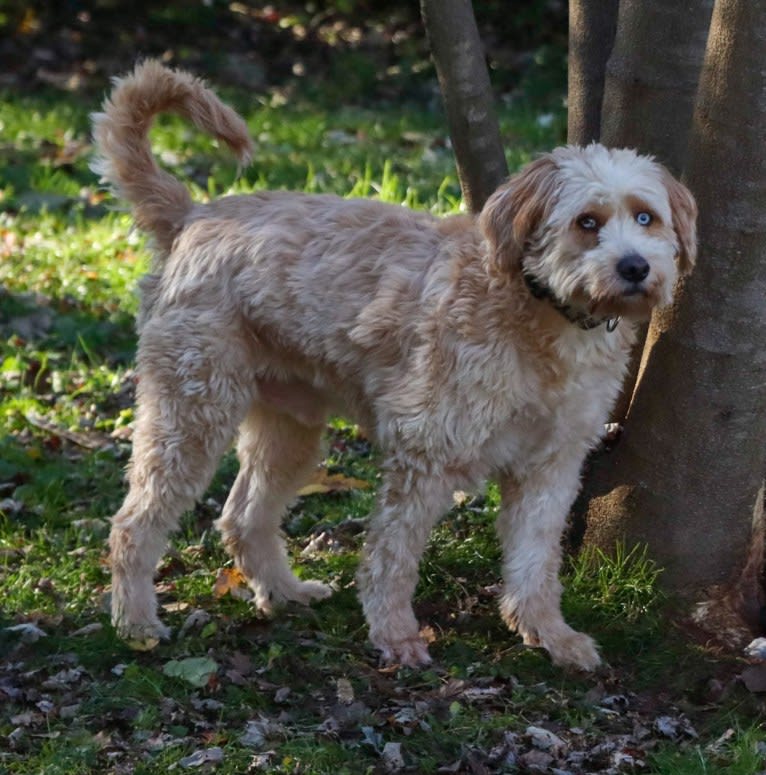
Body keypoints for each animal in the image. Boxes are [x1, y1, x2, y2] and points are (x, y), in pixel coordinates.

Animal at [93, 60, 700, 668]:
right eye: (587, 222)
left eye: (645, 217)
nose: (635, 268)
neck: (541, 314)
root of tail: (192, 215)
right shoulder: (424, 452)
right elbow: (393, 556)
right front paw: (395, 635)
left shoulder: (550, 468)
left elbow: (535, 564)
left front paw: (552, 635)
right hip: (190, 414)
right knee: (133, 524)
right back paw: (137, 622)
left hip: (290, 431)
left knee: (243, 516)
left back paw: (284, 592)